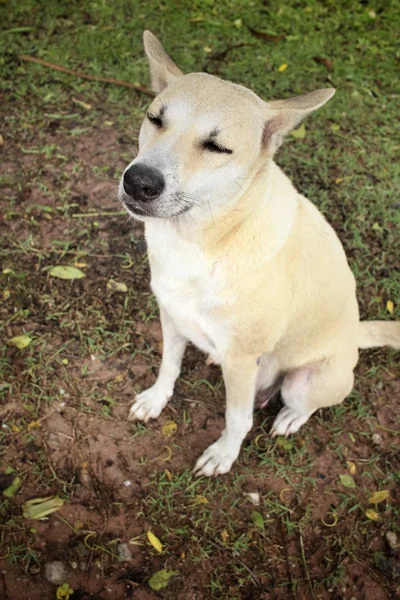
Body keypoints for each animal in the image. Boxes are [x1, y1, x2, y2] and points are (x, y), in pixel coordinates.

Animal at [119, 34, 400, 478]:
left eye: (217, 146)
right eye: (155, 118)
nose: (138, 182)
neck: (201, 242)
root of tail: (355, 335)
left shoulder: (241, 358)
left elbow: (238, 417)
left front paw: (223, 454)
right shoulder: (171, 317)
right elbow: (169, 366)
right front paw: (156, 399)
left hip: (305, 382)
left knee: (302, 404)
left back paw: (289, 418)